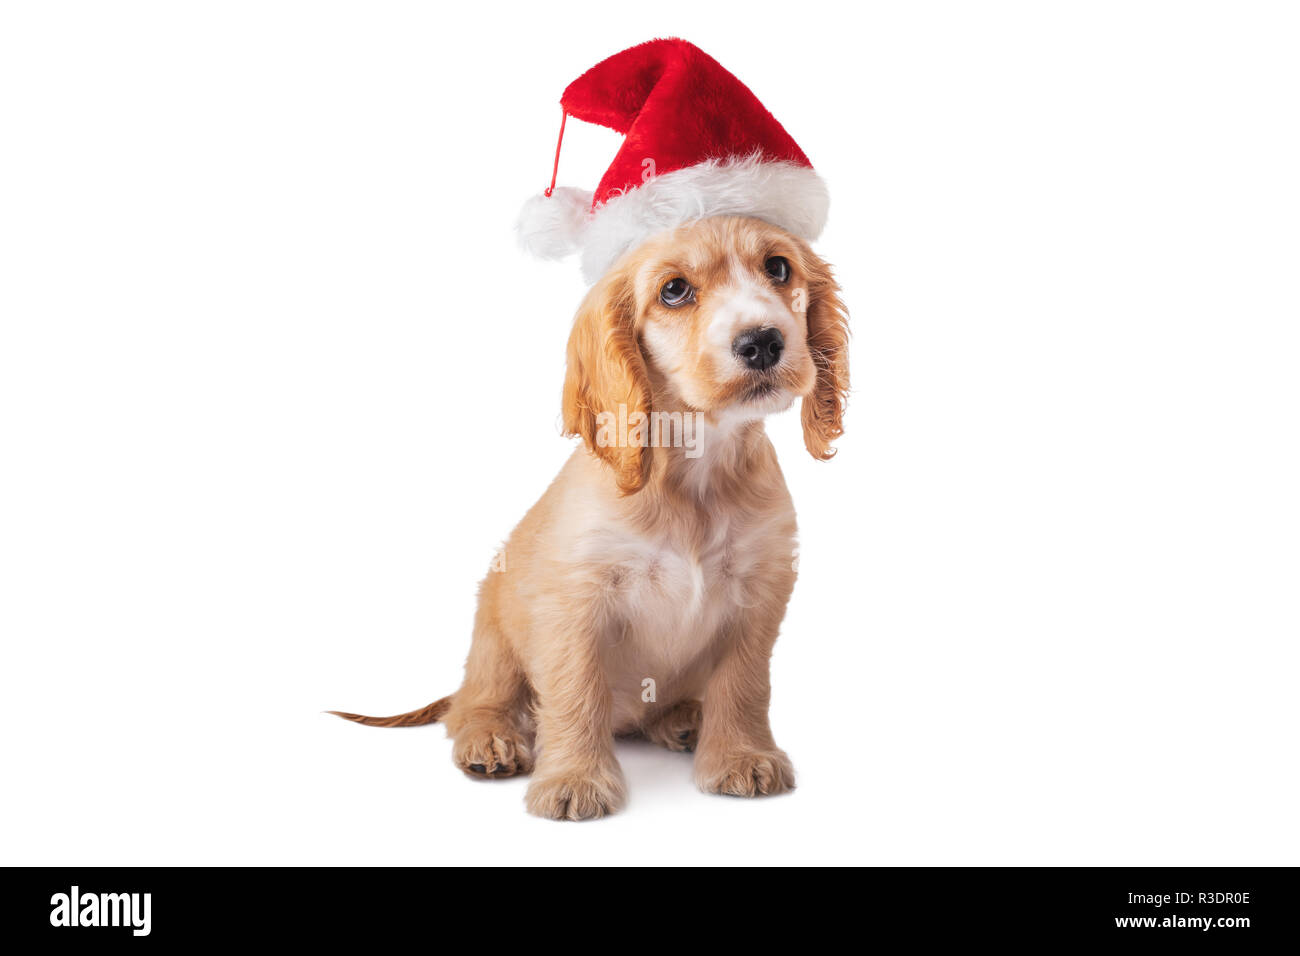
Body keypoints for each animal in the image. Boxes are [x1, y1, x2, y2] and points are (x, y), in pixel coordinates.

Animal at [330, 217, 847, 822]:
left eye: (778, 267)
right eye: (674, 290)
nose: (762, 342)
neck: (695, 473)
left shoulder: (761, 589)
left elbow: (743, 684)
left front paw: (742, 756)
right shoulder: (574, 599)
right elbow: (575, 691)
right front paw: (574, 779)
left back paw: (682, 719)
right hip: (494, 632)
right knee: (472, 703)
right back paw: (490, 740)